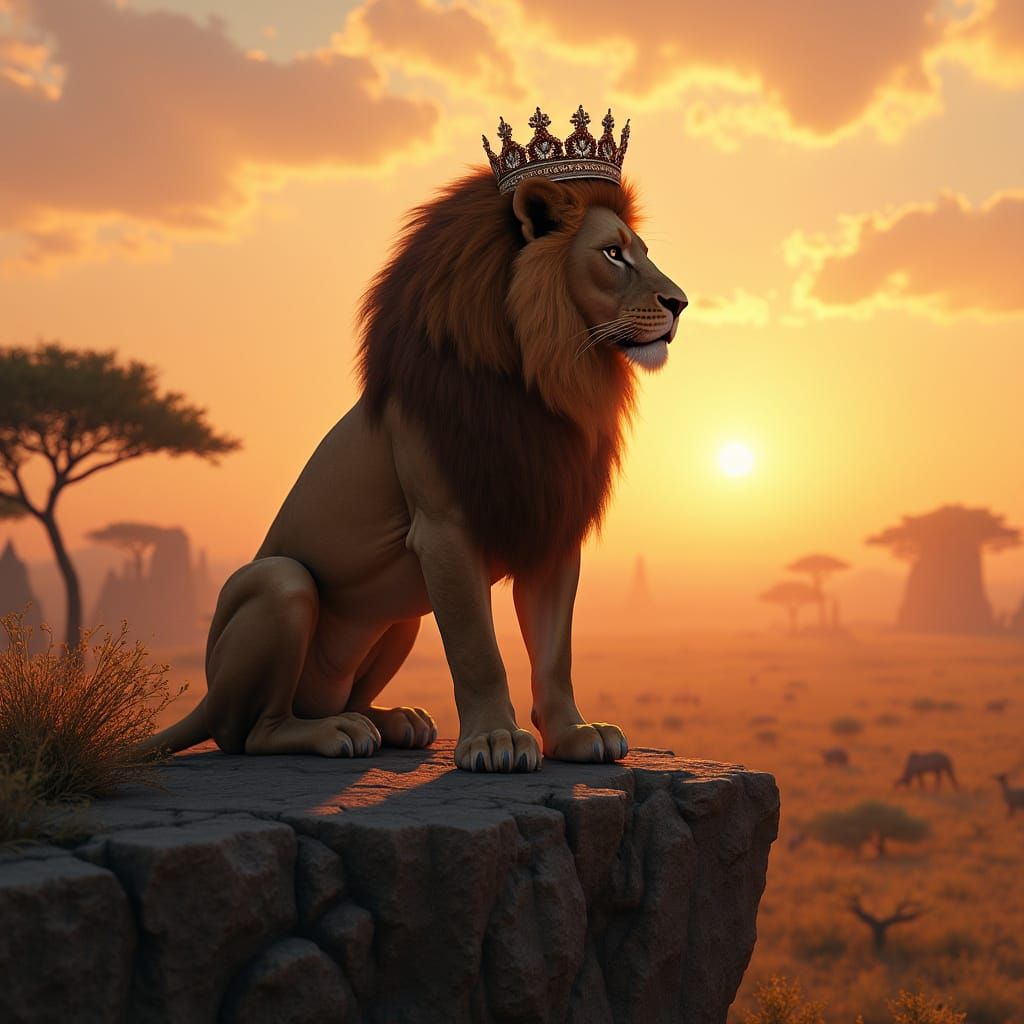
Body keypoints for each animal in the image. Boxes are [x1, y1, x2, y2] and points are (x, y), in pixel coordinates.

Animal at [143, 167, 686, 772]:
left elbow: (554, 651)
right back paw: (335, 731)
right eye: (613, 253)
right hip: (280, 587)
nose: (681, 303)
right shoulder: (444, 529)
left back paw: (394, 720)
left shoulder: (551, 522)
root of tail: (207, 696)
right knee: (254, 731)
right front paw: (495, 740)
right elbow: (477, 649)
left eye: (642, 252)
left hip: (401, 620)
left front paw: (574, 734)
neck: (546, 378)